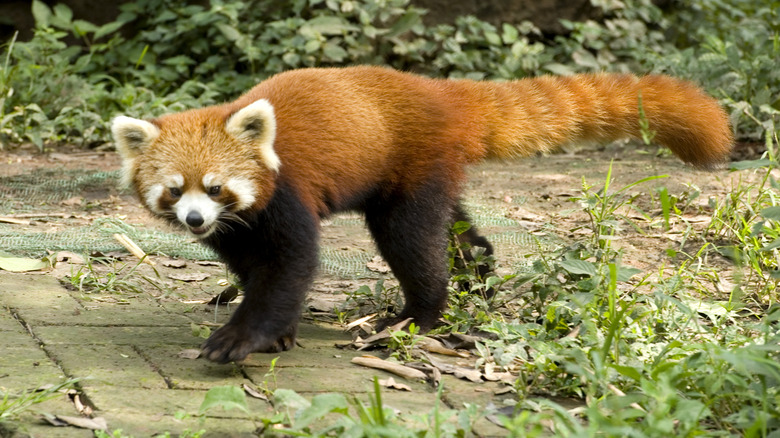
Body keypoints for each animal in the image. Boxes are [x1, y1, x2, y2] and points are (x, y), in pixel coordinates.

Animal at [109, 66, 732, 364]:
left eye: (216, 188)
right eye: (175, 191)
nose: (195, 220)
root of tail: (441, 94)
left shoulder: (285, 197)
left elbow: (290, 265)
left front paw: (243, 337)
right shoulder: (239, 230)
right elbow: (254, 268)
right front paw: (277, 331)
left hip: (411, 168)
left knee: (411, 239)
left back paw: (419, 315)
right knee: (454, 227)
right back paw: (477, 271)